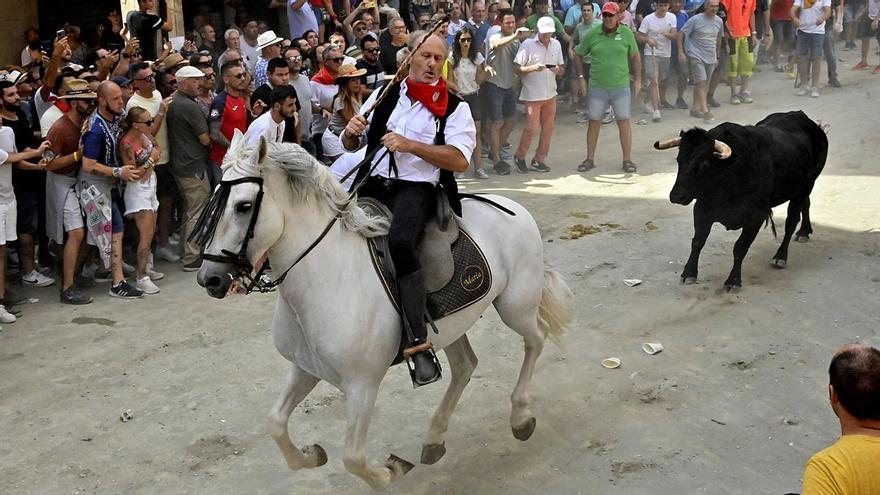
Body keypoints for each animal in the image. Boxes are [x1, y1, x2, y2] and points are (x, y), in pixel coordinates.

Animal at [196, 133, 576, 492]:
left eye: (244, 206)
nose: (209, 278)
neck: (327, 279)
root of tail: (513, 206)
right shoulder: (305, 368)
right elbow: (275, 424)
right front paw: (312, 454)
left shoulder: (362, 384)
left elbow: (353, 457)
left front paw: (390, 471)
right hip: (455, 323)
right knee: (465, 366)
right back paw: (435, 438)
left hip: (515, 306)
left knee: (536, 339)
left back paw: (520, 417)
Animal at [656, 111, 828, 290]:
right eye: (679, 160)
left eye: (704, 164)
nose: (676, 196)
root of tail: (802, 116)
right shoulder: (702, 209)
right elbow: (698, 241)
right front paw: (688, 273)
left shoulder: (756, 216)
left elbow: (740, 247)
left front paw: (733, 281)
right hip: (802, 187)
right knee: (806, 204)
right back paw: (804, 232)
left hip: (809, 183)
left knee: (792, 221)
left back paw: (781, 256)